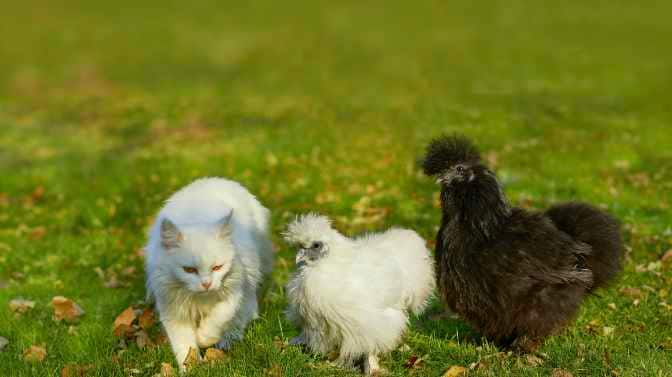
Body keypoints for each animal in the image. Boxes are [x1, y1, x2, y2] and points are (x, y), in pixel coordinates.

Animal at [144, 177, 272, 370]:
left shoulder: (233, 294)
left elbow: (218, 318)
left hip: (251, 276)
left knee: (246, 312)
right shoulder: (174, 312)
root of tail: (215, 180)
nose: (206, 284)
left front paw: (204, 339)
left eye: (217, 268)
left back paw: (229, 339)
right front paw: (190, 368)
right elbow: (184, 345)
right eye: (189, 270)